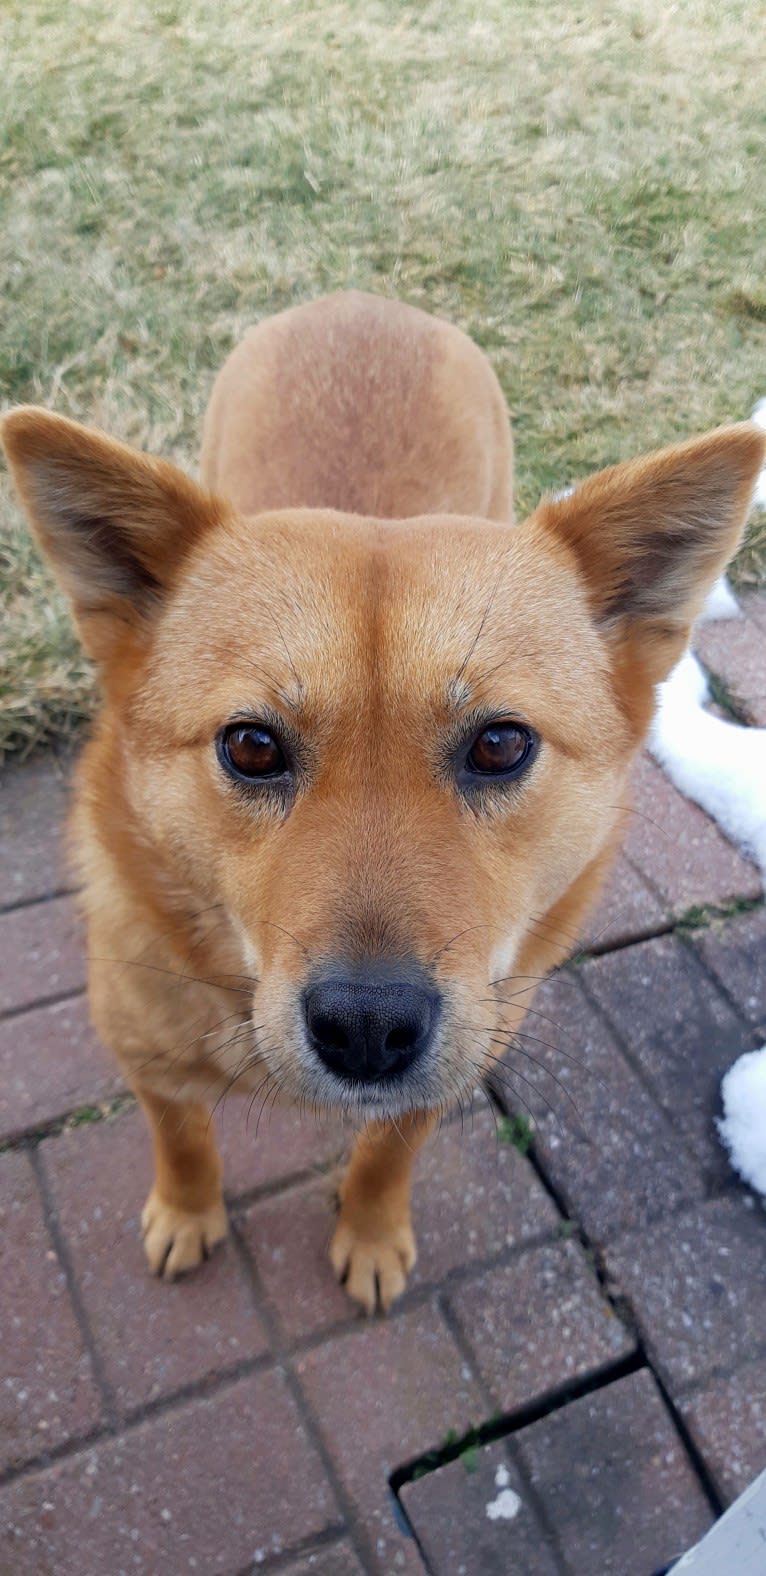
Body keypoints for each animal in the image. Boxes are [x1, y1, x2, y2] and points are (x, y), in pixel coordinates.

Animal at [2, 289, 762, 1311]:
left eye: (500, 744)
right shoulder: (150, 1066)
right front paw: (188, 1212)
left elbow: (387, 1155)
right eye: (251, 746)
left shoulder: (460, 1058)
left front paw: (368, 1233)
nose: (367, 1028)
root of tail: (361, 300)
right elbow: (185, 1141)